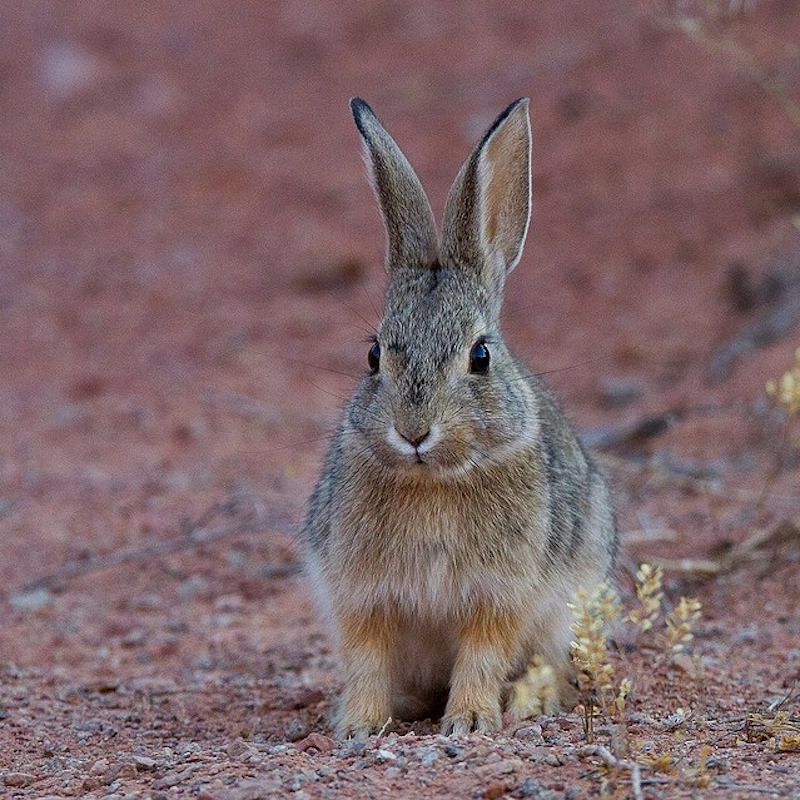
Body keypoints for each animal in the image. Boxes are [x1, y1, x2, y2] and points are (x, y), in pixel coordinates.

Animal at [304, 97, 616, 740]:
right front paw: (358, 725)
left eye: (481, 356)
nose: (413, 431)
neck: (434, 480)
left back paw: (529, 702)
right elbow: (367, 658)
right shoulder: (362, 595)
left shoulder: (500, 596)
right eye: (374, 356)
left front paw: (470, 721)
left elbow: (482, 654)